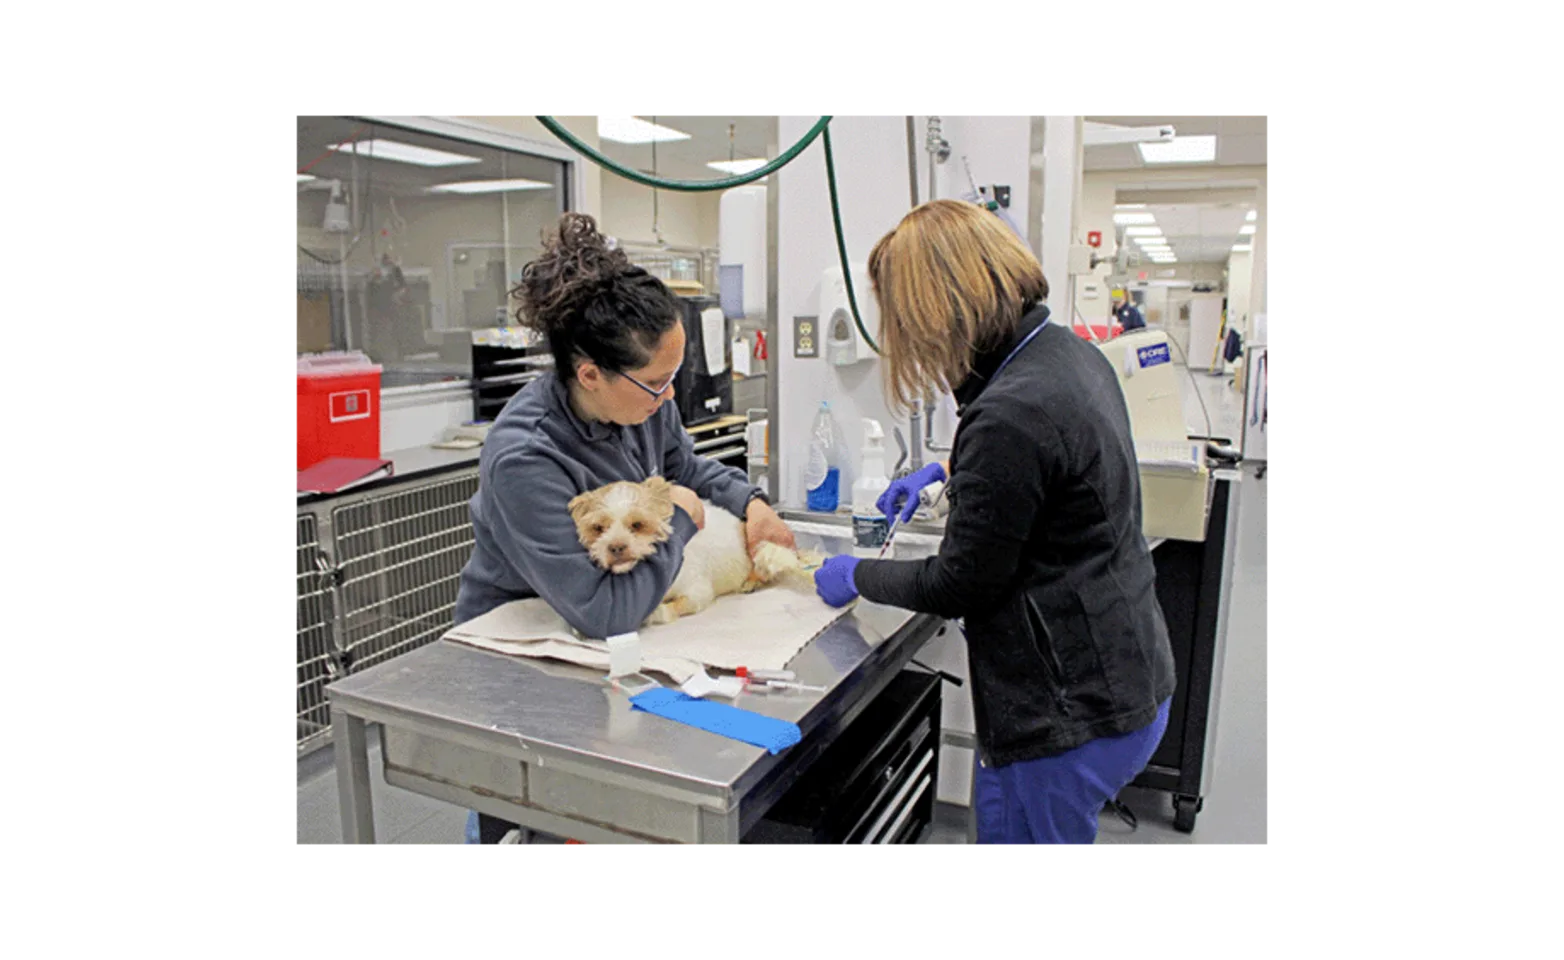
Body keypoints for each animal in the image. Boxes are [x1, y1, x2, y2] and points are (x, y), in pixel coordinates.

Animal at [572, 478, 819, 628]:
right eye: (598, 528)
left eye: (637, 525)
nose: (615, 547)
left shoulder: (698, 593)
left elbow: (670, 608)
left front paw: (656, 613)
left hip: (760, 553)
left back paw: (751, 582)